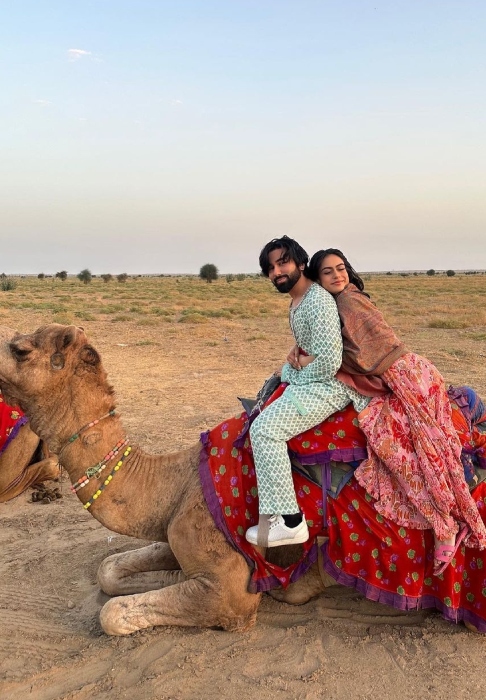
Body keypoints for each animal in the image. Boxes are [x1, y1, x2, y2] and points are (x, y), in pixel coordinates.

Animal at [0, 323, 482, 636]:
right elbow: (109, 570)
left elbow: (114, 613)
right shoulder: (178, 529)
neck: (170, 482)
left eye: (19, 350)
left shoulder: (229, 589)